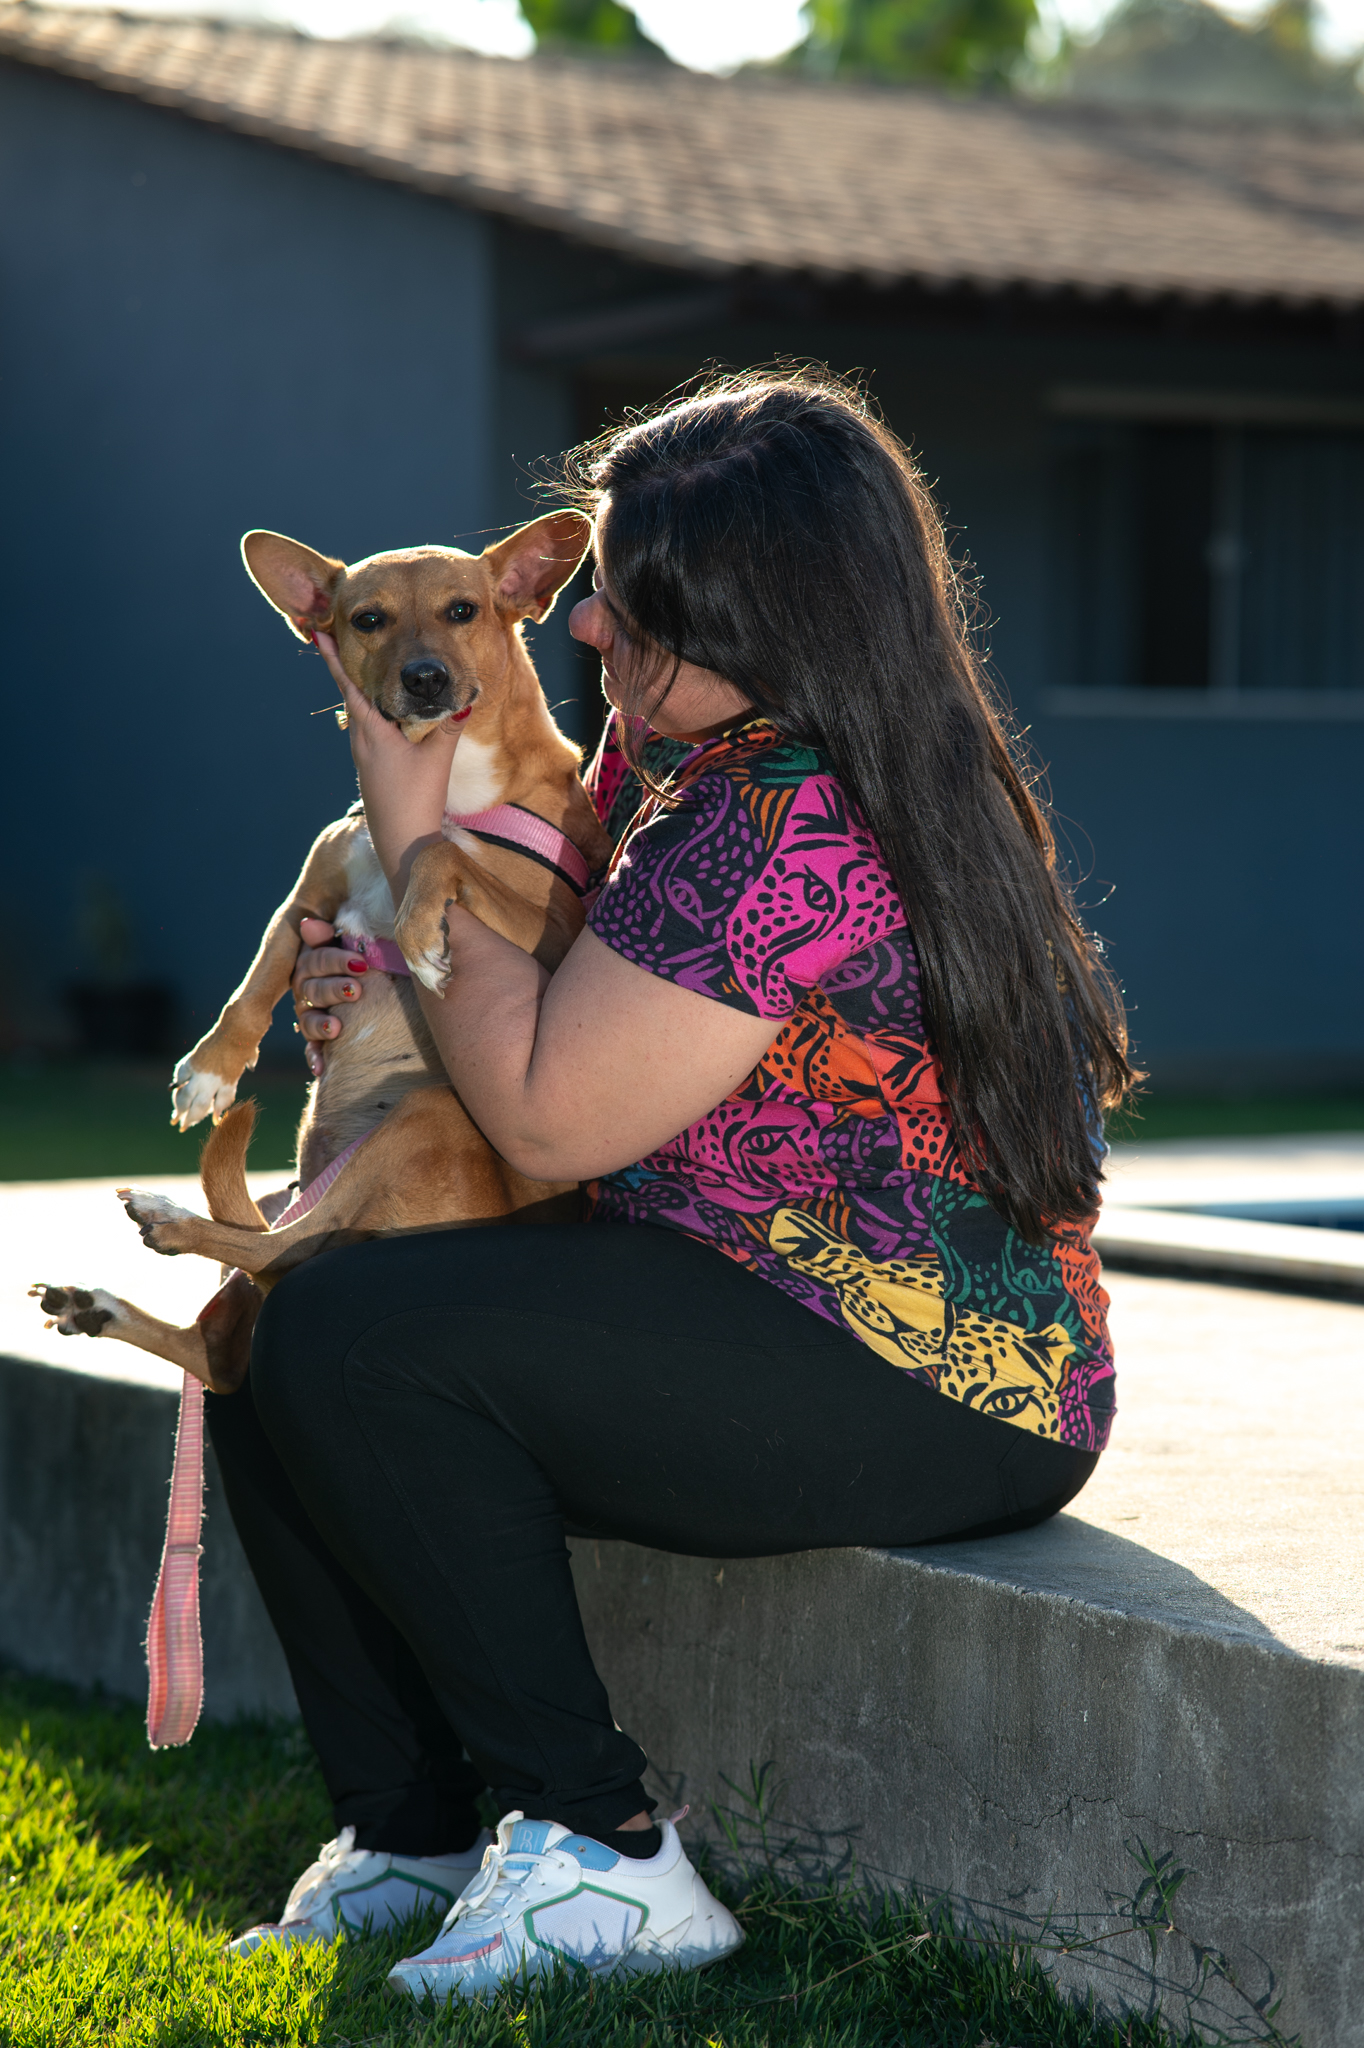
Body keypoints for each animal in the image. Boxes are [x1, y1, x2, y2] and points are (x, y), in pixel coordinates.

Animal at [33, 510, 611, 1394]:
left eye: (464, 611)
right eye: (368, 619)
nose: (425, 679)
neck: (443, 782)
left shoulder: (555, 935)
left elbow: (443, 855)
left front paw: (419, 930)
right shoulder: (305, 905)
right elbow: (253, 988)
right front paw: (210, 1071)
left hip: (432, 1112)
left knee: (283, 1253)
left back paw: (168, 1219)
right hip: (307, 1212)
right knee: (229, 1333)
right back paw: (101, 1304)